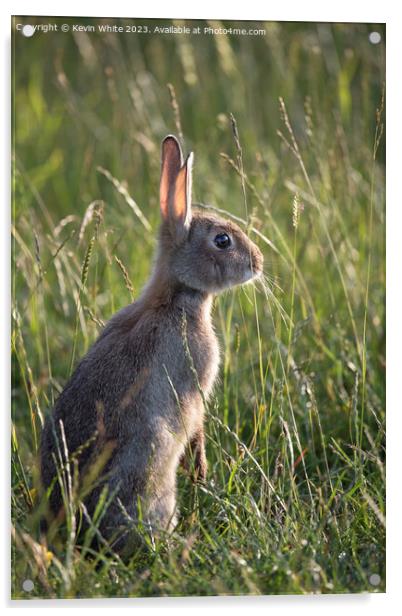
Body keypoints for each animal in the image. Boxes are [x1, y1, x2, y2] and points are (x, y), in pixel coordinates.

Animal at [39, 135, 262, 560]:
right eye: (222, 240)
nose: (258, 263)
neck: (175, 298)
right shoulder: (195, 385)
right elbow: (196, 425)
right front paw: (201, 470)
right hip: (153, 463)